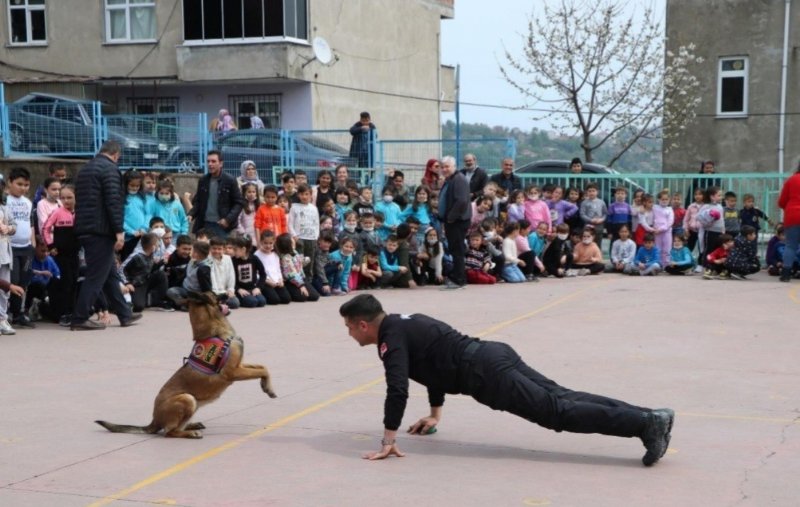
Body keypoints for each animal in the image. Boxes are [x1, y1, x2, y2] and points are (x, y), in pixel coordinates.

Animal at [95, 292, 276, 438]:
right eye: (214, 293)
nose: (229, 293)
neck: (215, 331)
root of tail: (154, 420)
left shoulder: (240, 365)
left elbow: (263, 367)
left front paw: (266, 386)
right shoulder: (233, 372)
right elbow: (261, 370)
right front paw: (268, 389)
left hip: (193, 404)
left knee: (176, 427)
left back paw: (192, 425)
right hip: (187, 399)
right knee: (170, 432)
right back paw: (190, 433)